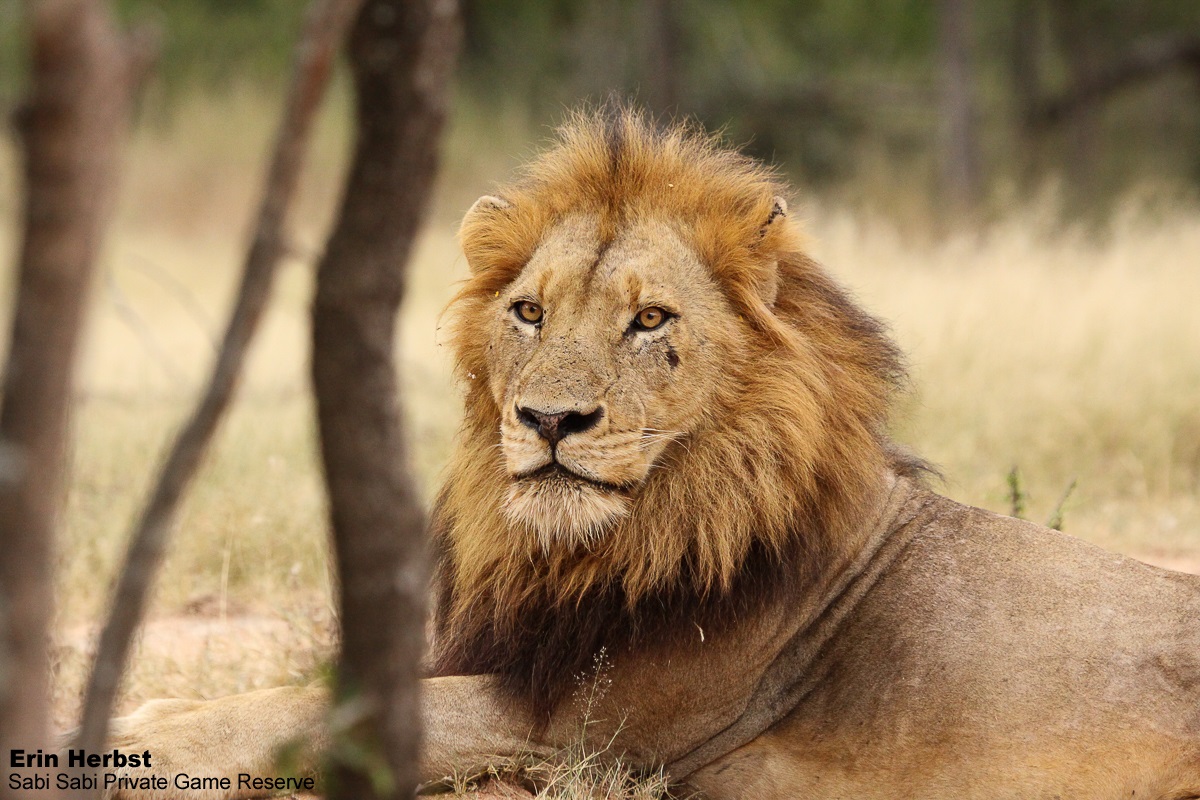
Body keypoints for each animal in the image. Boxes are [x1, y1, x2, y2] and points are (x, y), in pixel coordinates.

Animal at [100, 106, 1200, 800]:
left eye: (650, 320)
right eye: (529, 312)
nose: (550, 420)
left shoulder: (592, 731)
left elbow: (325, 714)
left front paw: (140, 731)